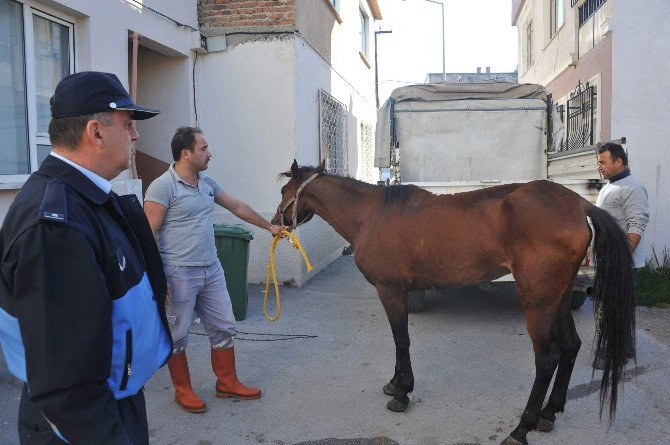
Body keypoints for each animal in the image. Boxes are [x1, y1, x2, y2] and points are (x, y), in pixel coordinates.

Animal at [272, 160, 636, 444]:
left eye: (284, 191)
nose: (276, 224)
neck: (373, 215)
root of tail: (579, 204)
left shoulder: (390, 290)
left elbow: (401, 339)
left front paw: (402, 392)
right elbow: (399, 340)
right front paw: (395, 383)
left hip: (537, 301)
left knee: (547, 358)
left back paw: (522, 428)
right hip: (557, 298)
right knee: (571, 345)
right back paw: (549, 413)